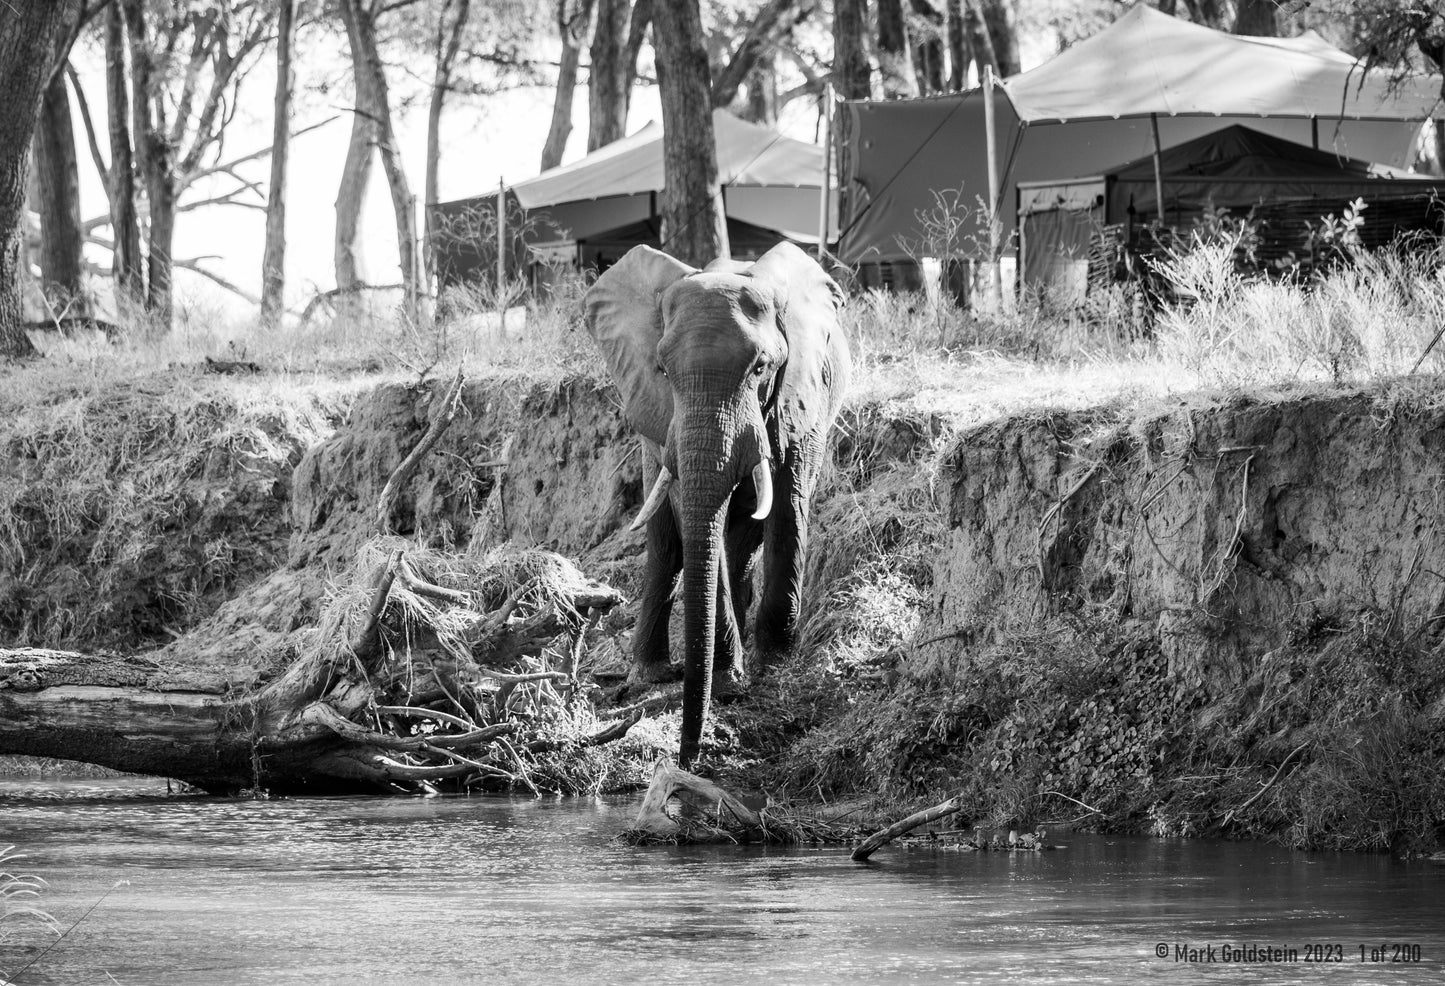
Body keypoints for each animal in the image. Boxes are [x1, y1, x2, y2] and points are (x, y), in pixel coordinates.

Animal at [583, 241, 849, 763]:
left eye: (761, 368)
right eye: (663, 370)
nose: (689, 757)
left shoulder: (800, 397)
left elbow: (786, 507)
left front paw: (773, 663)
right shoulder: (668, 418)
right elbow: (696, 519)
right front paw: (729, 683)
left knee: (747, 533)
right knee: (668, 542)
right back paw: (650, 675)